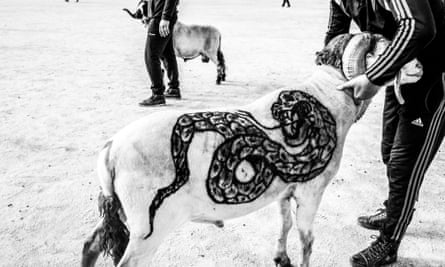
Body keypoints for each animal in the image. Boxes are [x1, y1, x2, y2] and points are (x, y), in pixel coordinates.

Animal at [80, 32, 424, 266]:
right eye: (383, 45)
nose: (420, 65)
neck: (326, 96)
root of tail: (111, 151)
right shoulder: (311, 192)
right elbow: (307, 238)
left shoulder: (285, 189)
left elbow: (285, 225)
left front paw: (281, 258)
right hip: (147, 231)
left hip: (121, 214)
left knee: (90, 245)